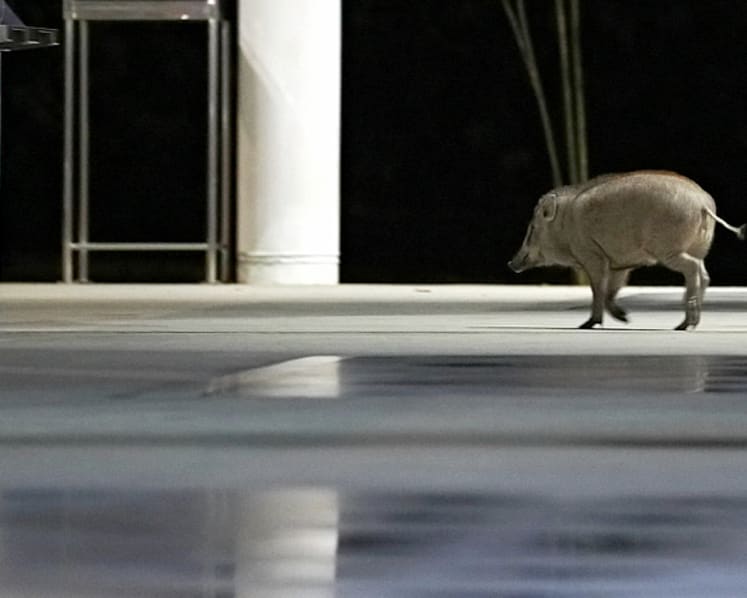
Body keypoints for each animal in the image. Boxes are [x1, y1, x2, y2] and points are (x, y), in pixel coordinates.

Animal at [508, 170, 746, 330]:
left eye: (532, 228)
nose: (510, 263)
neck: (565, 225)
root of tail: (703, 204)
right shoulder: (620, 264)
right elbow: (611, 291)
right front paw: (625, 318)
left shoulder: (592, 256)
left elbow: (598, 289)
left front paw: (588, 324)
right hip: (698, 248)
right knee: (704, 275)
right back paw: (687, 324)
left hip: (669, 250)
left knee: (693, 269)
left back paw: (686, 324)